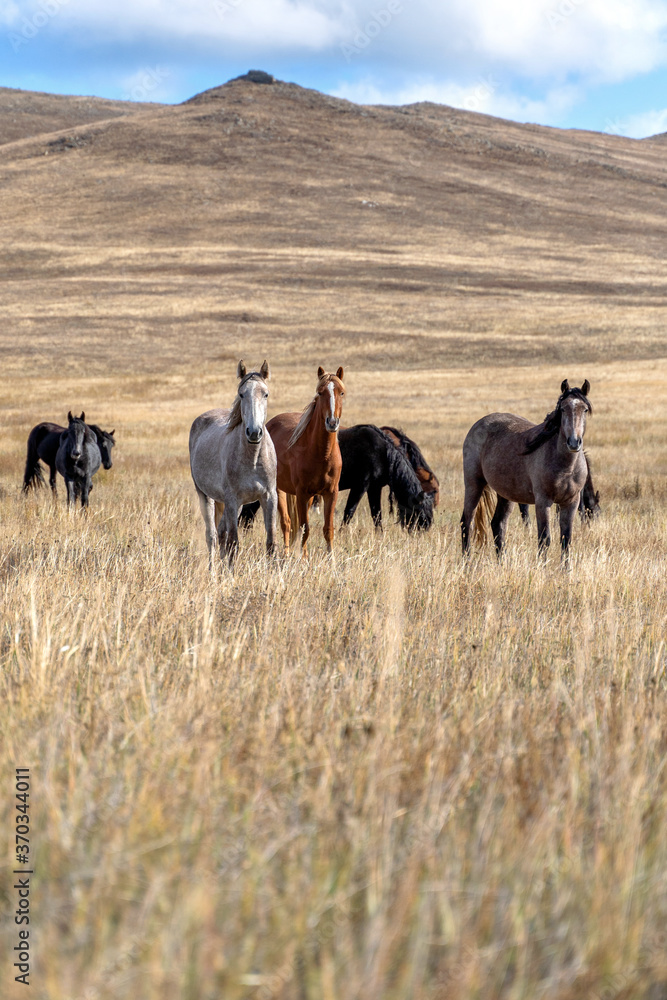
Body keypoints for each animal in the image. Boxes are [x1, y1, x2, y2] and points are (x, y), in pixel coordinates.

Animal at [189, 360, 277, 568]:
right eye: (241, 394)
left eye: (266, 394)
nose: (254, 432)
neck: (253, 459)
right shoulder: (232, 499)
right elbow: (234, 542)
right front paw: (231, 573)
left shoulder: (269, 497)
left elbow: (270, 542)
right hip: (206, 495)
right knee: (212, 536)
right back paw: (213, 571)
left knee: (221, 534)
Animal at [239, 423, 433, 532]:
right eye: (420, 511)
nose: (423, 532)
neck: (383, 453)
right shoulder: (360, 486)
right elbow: (349, 512)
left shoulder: (374, 488)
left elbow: (376, 514)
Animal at [267, 366, 345, 557]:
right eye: (320, 392)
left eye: (341, 392)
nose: (332, 422)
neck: (321, 454)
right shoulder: (301, 494)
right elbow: (304, 529)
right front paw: (304, 560)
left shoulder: (330, 493)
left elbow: (328, 529)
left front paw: (331, 559)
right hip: (279, 490)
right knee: (286, 523)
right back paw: (286, 555)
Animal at [461, 379, 592, 560]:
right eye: (563, 409)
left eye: (584, 409)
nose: (573, 442)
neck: (566, 467)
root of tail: (477, 425)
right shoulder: (543, 501)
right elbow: (544, 539)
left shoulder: (571, 502)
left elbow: (566, 540)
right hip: (474, 485)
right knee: (467, 523)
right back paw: (466, 562)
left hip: (506, 494)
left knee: (498, 524)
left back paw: (502, 562)